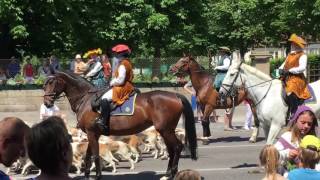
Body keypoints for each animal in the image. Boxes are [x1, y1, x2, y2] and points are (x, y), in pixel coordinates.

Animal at [42, 71, 198, 180]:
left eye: (51, 83)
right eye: (45, 84)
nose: (47, 103)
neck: (86, 98)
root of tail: (175, 96)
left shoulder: (92, 133)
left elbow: (95, 155)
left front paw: (97, 175)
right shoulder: (92, 134)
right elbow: (88, 155)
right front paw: (86, 175)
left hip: (166, 130)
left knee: (177, 147)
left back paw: (171, 173)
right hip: (166, 130)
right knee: (171, 149)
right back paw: (167, 173)